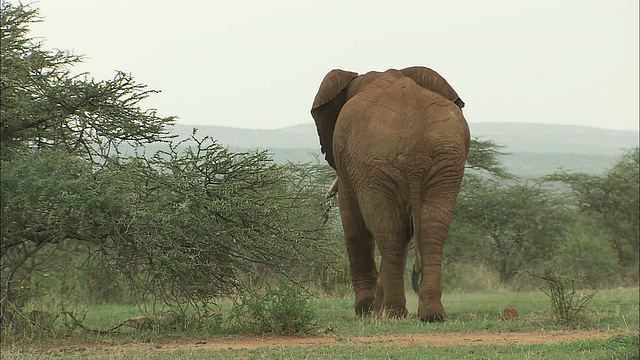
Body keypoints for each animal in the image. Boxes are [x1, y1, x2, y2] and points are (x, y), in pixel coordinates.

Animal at [312, 66, 470, 322]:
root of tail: (415, 153)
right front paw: (375, 309)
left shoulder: (350, 166)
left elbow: (354, 225)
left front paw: (366, 310)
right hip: (445, 160)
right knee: (430, 231)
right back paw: (430, 315)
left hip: (376, 166)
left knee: (389, 233)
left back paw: (394, 313)